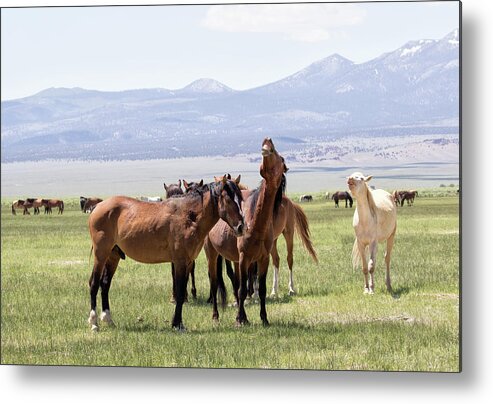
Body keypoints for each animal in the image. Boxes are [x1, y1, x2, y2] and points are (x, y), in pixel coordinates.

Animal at [87, 177, 245, 332]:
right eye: (228, 199)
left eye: (241, 198)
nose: (241, 227)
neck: (189, 216)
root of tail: (98, 206)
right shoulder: (180, 262)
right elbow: (180, 292)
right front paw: (177, 324)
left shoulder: (187, 262)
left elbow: (182, 290)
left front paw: (178, 322)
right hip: (101, 255)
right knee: (94, 284)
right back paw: (94, 323)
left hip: (113, 256)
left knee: (105, 284)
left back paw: (108, 319)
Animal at [205, 137, 288, 326]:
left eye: (280, 158)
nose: (267, 141)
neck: (256, 225)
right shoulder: (244, 257)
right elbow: (242, 289)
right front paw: (240, 319)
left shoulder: (263, 258)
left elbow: (261, 288)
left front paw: (264, 318)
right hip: (211, 253)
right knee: (214, 283)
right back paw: (215, 316)